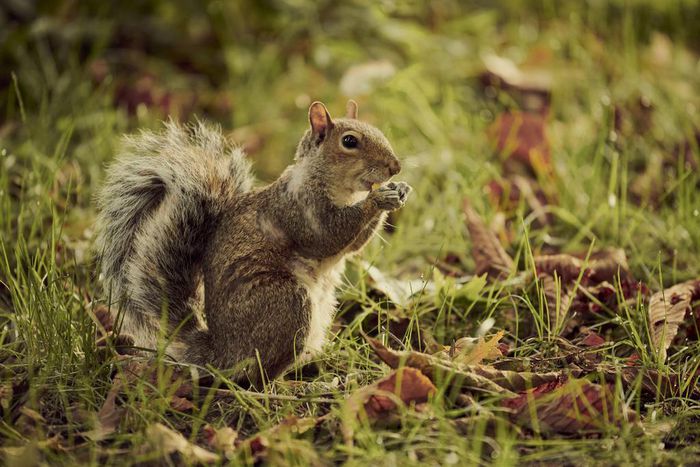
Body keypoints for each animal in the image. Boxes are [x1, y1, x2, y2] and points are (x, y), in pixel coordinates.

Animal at [94, 100, 411, 385]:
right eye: (349, 141)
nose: (395, 167)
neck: (335, 187)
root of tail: (222, 354)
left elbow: (354, 245)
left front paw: (399, 190)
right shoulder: (298, 211)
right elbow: (329, 236)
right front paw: (377, 198)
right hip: (286, 303)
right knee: (254, 375)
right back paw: (282, 387)